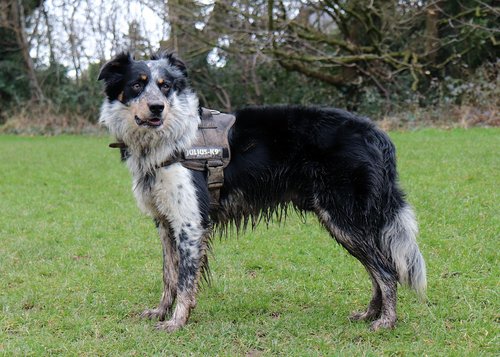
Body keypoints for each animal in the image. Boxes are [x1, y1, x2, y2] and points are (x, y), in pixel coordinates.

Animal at [96, 51, 426, 332]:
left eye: (165, 87)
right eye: (137, 85)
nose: (157, 108)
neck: (168, 139)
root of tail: (376, 134)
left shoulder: (190, 224)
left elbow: (186, 281)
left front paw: (177, 322)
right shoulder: (166, 223)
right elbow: (169, 276)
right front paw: (161, 312)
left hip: (345, 219)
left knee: (386, 271)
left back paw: (386, 322)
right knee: (378, 270)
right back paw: (371, 314)